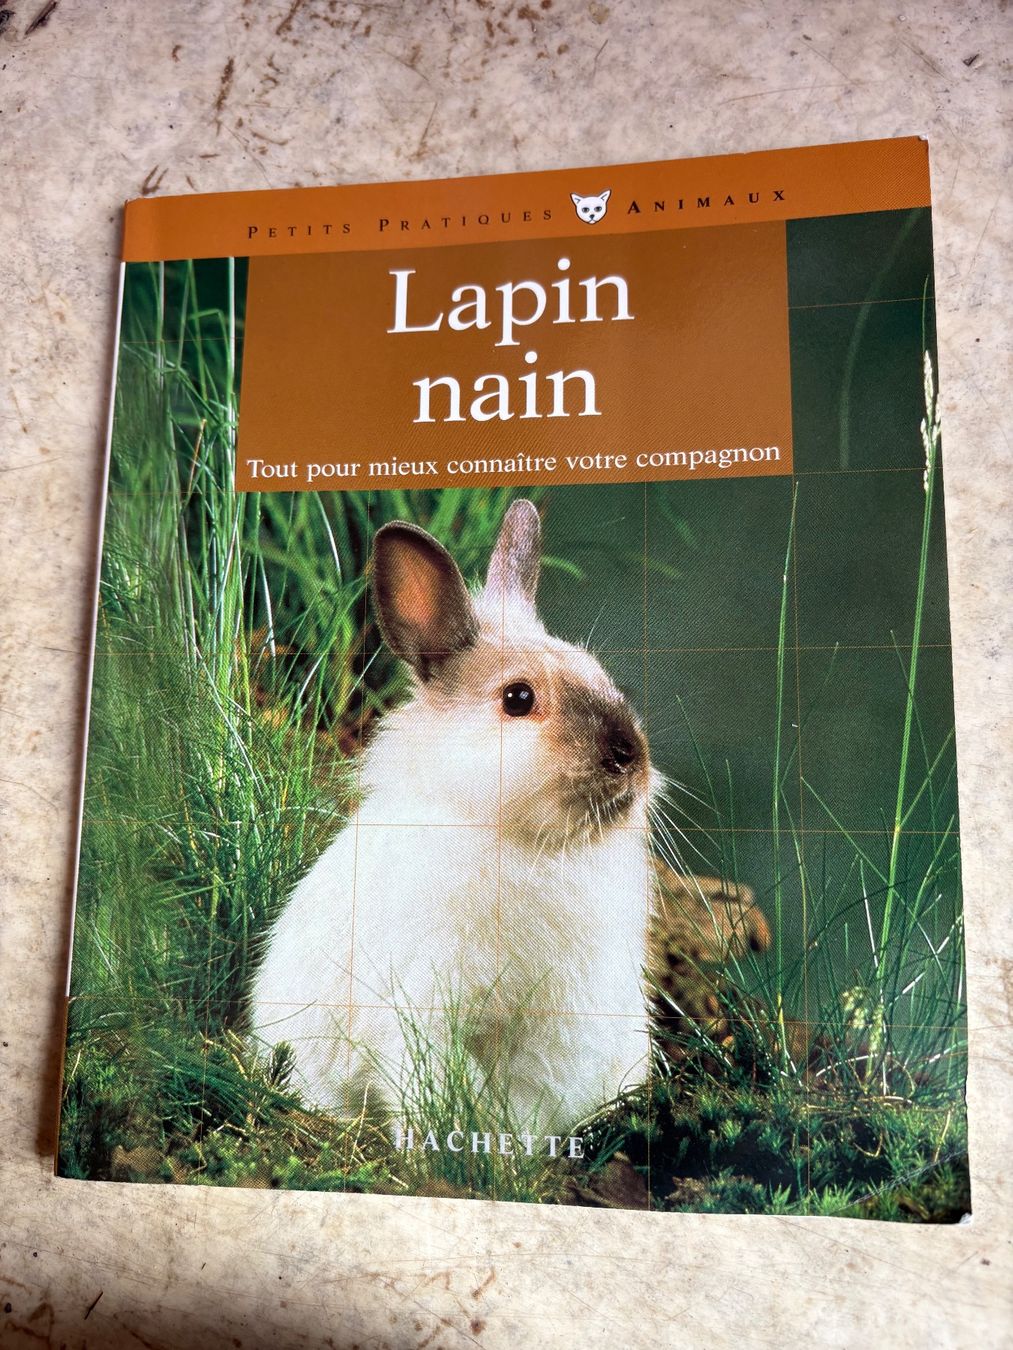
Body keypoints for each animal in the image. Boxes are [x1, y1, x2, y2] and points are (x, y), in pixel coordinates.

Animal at [249, 499, 659, 1136]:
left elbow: (528, 1108)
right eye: (518, 699)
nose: (628, 756)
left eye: (599, 673)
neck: (528, 843)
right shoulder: (421, 1012)